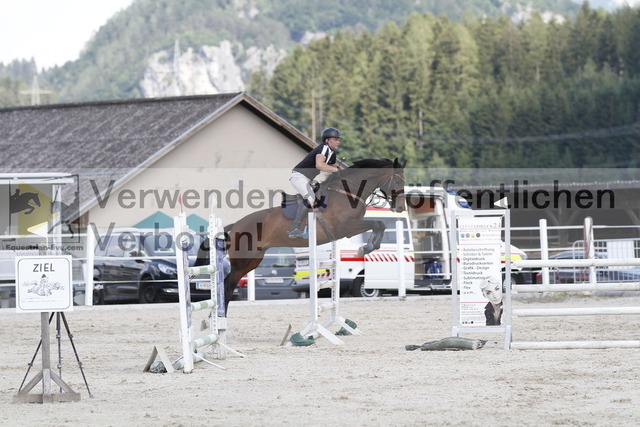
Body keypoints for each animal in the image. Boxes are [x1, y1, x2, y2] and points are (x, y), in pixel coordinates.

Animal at [196, 157, 407, 313]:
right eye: (398, 180)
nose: (400, 208)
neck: (347, 193)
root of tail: (236, 225)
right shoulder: (346, 227)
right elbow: (377, 223)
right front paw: (366, 247)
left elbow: (379, 224)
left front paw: (369, 247)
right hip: (242, 261)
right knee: (227, 285)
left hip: (252, 260)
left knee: (227, 285)